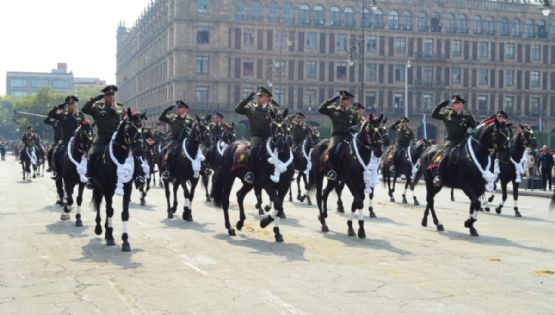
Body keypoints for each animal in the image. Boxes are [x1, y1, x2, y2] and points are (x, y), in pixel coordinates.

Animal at [91, 110, 143, 253]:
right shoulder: (107, 189)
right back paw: (100, 229)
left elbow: (124, 214)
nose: (139, 149)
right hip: (99, 188)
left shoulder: (127, 189)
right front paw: (110, 237)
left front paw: (125, 241)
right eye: (129, 128)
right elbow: (109, 211)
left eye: (142, 128)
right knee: (100, 206)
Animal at [211, 110, 296, 243]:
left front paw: (277, 232)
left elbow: (279, 205)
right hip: (229, 177)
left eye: (286, 125)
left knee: (240, 195)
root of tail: (231, 146)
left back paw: (240, 222)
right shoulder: (266, 184)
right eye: (273, 125)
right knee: (226, 200)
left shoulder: (285, 186)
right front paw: (264, 222)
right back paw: (230, 227)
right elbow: (277, 203)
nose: (280, 143)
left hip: (249, 183)